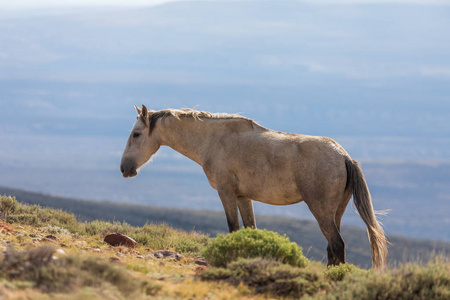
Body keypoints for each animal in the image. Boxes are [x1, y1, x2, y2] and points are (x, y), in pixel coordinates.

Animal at [121, 105, 388, 270]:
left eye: (136, 134)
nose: (125, 168)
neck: (213, 140)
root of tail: (344, 156)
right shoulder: (243, 197)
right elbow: (250, 229)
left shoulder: (226, 192)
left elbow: (233, 228)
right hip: (336, 212)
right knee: (333, 247)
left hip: (321, 210)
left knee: (337, 244)